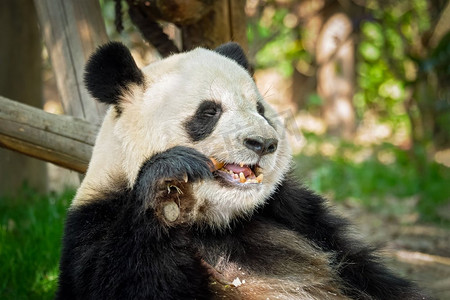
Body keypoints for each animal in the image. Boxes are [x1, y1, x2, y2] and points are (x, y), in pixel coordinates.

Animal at [54, 42, 428, 300]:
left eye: (260, 109)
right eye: (209, 111)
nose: (263, 143)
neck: (215, 221)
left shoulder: (296, 212)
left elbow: (364, 270)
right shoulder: (95, 224)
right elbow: (121, 280)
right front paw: (167, 180)